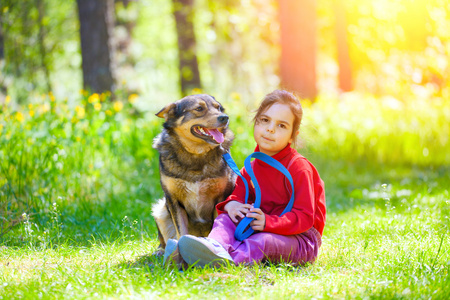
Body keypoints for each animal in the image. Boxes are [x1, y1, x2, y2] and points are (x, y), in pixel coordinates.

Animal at [152, 94, 236, 253]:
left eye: (218, 107)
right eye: (199, 108)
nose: (225, 117)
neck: (196, 153)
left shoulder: (220, 198)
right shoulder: (173, 199)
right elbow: (181, 232)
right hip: (160, 210)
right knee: (164, 240)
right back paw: (161, 251)